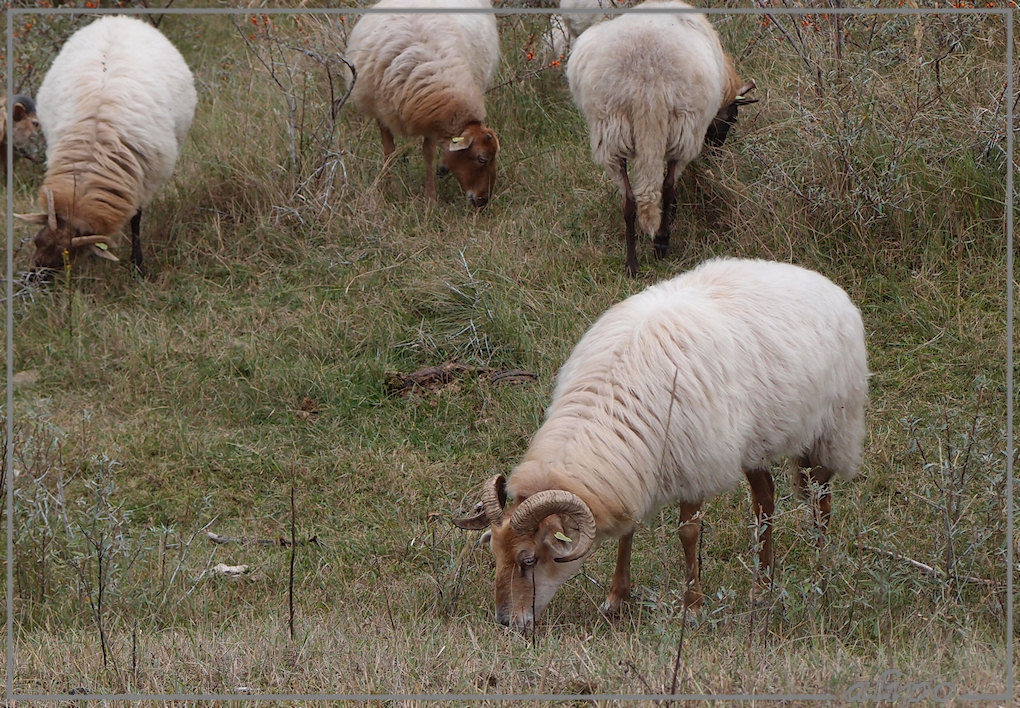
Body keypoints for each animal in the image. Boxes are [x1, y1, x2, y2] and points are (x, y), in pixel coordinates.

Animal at [14, 14, 195, 275]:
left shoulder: (144, 182)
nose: (33, 279)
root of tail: (119, 18)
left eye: (66, 259)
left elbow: (136, 219)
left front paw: (138, 265)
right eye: (37, 241)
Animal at [344, 0, 499, 209]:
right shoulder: (382, 113)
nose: (483, 201)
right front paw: (386, 191)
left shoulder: (433, 121)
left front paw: (431, 199)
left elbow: (428, 154)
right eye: (482, 158)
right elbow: (389, 152)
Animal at [454, 258, 869, 628]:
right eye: (493, 553)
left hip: (832, 429)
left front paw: (693, 607)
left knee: (821, 500)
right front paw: (616, 599)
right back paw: (761, 587)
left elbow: (688, 534)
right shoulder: (633, 468)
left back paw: (820, 573)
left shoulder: (694, 463)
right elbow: (628, 529)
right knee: (764, 501)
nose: (507, 622)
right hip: (756, 441)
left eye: (529, 560)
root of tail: (820, 280)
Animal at [567, 2, 758, 279]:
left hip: (611, 133)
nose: (717, 154)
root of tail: (645, 79)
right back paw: (661, 244)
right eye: (732, 118)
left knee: (630, 200)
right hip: (683, 131)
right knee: (667, 188)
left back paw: (632, 264)